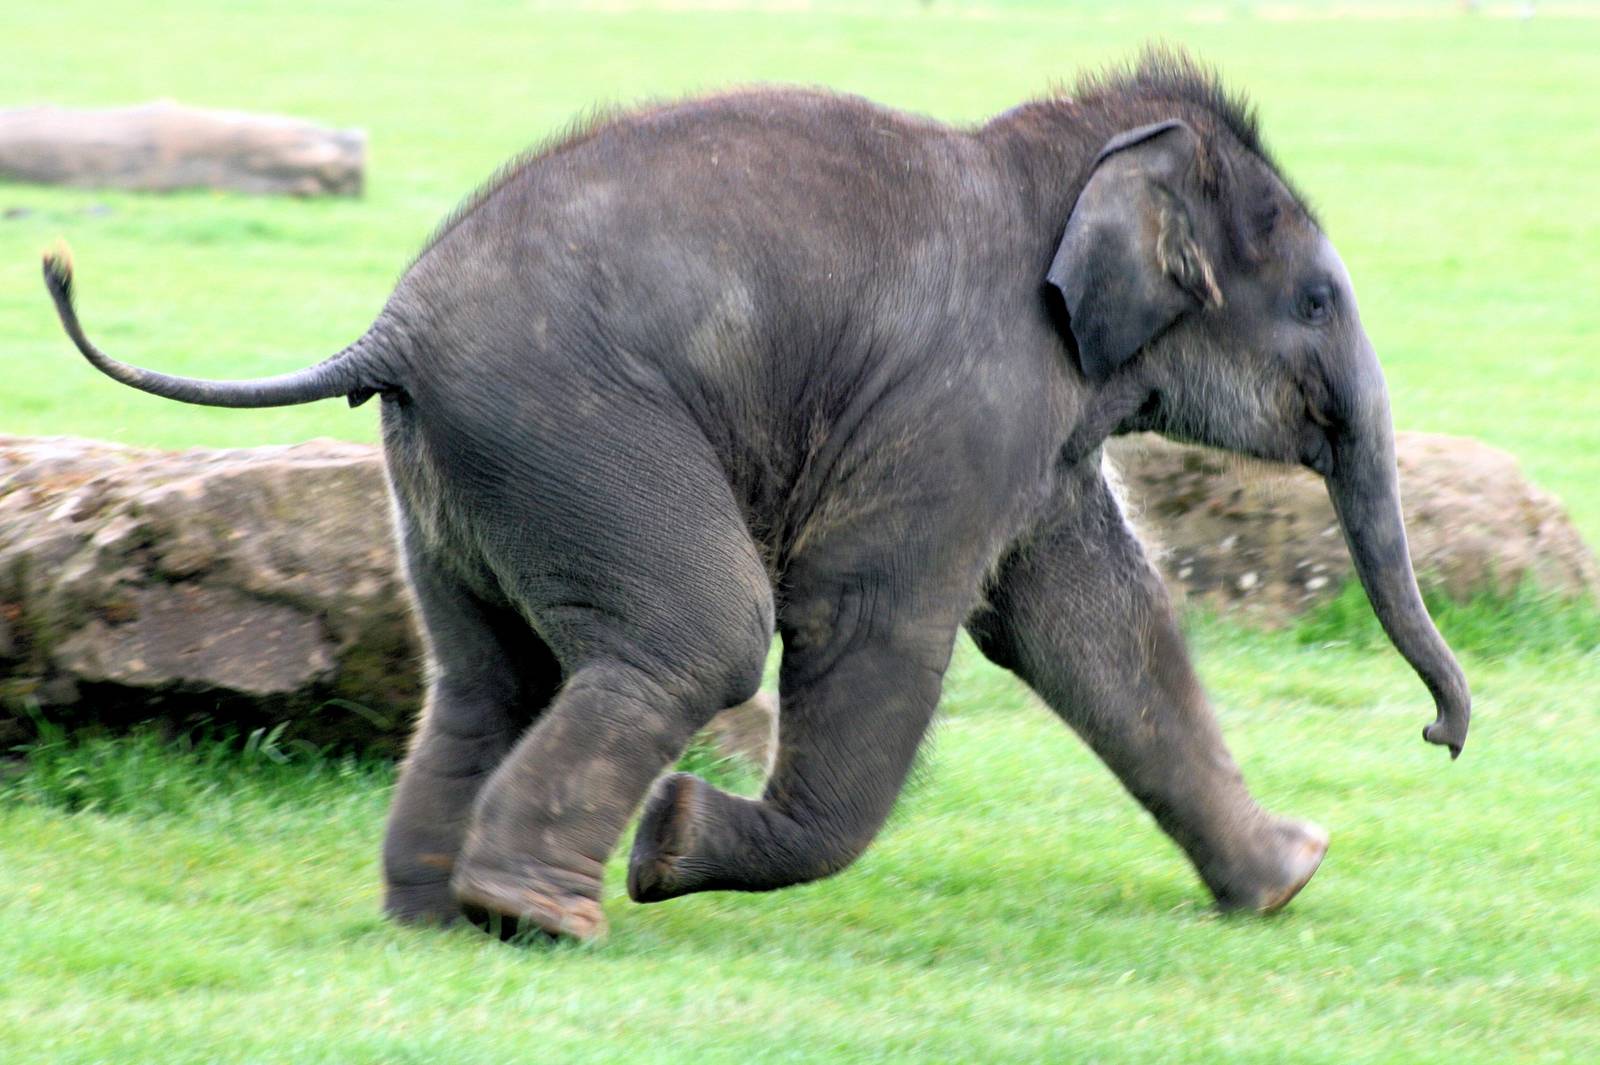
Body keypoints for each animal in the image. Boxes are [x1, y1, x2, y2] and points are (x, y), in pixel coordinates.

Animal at [41, 48, 1469, 941]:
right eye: (1318, 301)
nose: (1438, 737)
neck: (1055, 161)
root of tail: (388, 332)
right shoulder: (963, 401)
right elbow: (878, 620)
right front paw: (674, 842)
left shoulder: (1032, 428)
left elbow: (1093, 627)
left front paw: (1286, 881)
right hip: (576, 434)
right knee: (702, 638)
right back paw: (544, 910)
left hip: (456, 475)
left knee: (492, 672)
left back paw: (444, 914)